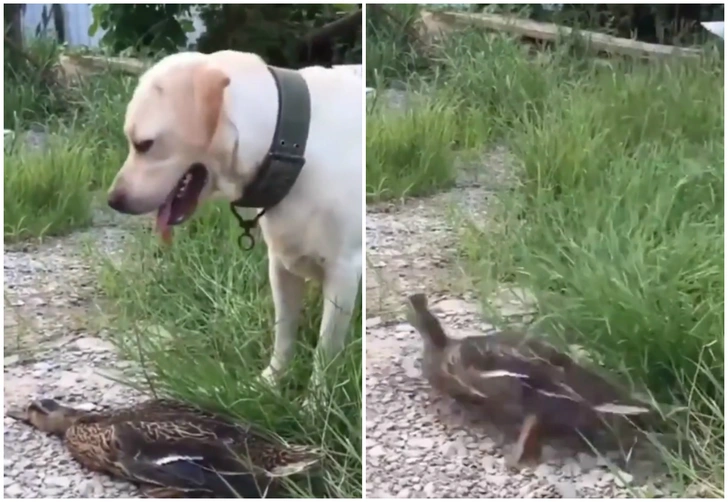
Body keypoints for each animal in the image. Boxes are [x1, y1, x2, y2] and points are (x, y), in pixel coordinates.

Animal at [106, 52, 362, 392]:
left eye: (144, 144)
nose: (113, 200)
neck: (292, 147)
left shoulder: (343, 273)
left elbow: (325, 353)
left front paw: (317, 400)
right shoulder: (281, 266)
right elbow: (284, 333)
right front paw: (271, 381)